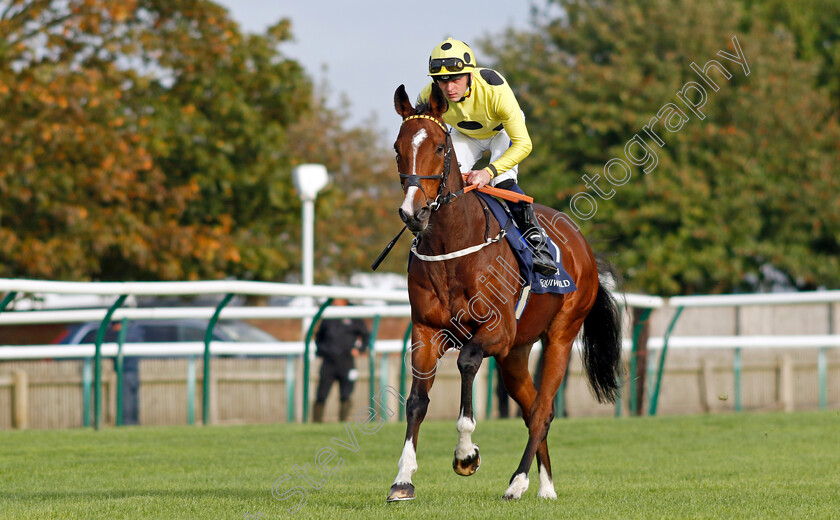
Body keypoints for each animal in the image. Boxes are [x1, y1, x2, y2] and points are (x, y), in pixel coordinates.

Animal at [388, 83, 624, 502]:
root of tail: (583, 245)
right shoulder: (426, 331)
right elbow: (416, 401)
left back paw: (518, 481)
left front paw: (466, 455)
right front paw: (403, 479)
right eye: (398, 148)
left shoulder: (496, 330)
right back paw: (545, 486)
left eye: (439, 148)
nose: (413, 213)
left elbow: (467, 362)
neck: (451, 246)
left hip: (560, 335)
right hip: (516, 353)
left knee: (544, 409)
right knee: (532, 409)